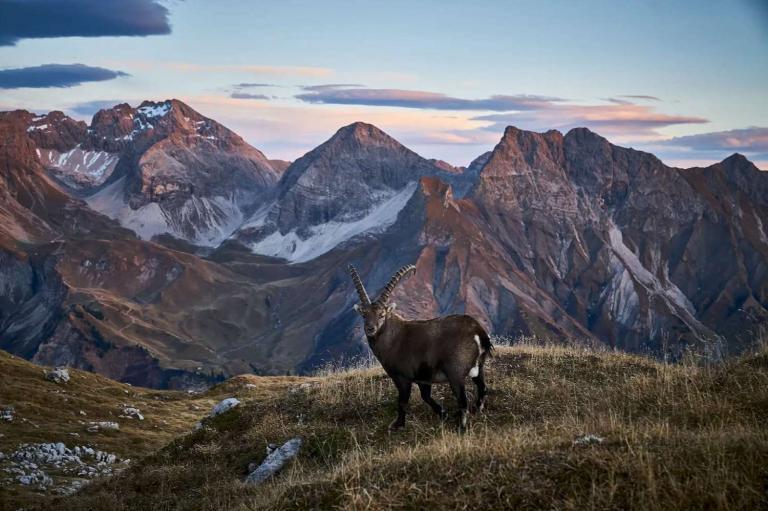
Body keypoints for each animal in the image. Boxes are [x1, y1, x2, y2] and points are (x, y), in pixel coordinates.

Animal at [348, 264, 493, 431]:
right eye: (364, 314)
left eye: (381, 314)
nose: (370, 328)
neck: (392, 338)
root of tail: (478, 331)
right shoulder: (423, 378)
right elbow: (426, 396)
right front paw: (443, 414)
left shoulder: (402, 378)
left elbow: (402, 402)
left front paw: (397, 425)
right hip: (479, 368)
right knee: (482, 388)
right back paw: (478, 409)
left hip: (455, 374)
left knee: (463, 401)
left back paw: (461, 427)